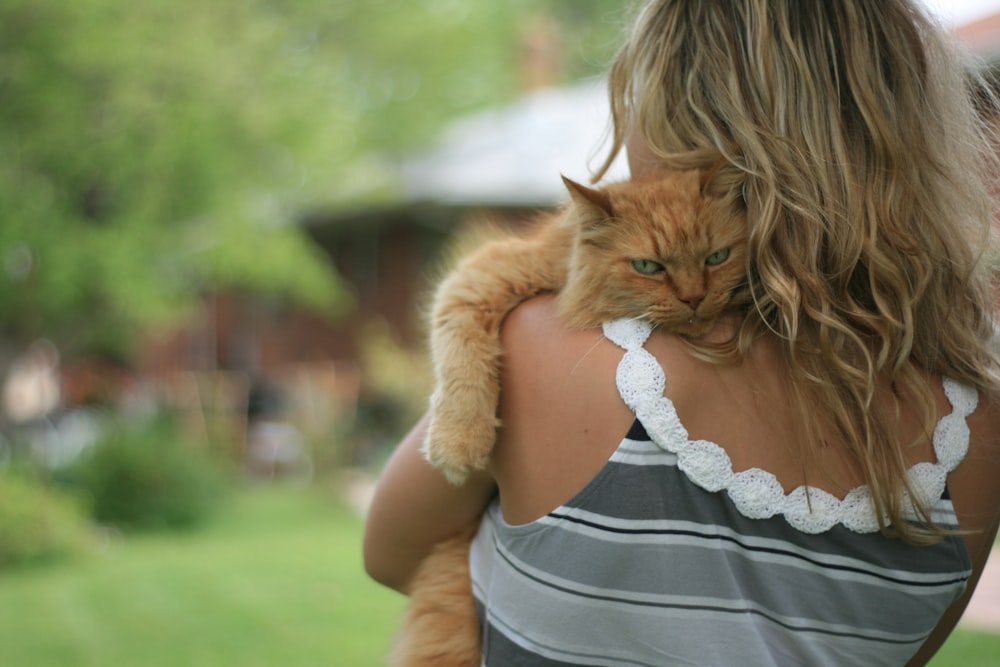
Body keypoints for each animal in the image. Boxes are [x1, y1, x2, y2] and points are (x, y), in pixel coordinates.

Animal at [390, 171, 752, 667]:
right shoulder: (491, 271)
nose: (694, 298)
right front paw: (459, 444)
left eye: (717, 257)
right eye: (648, 266)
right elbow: (462, 355)